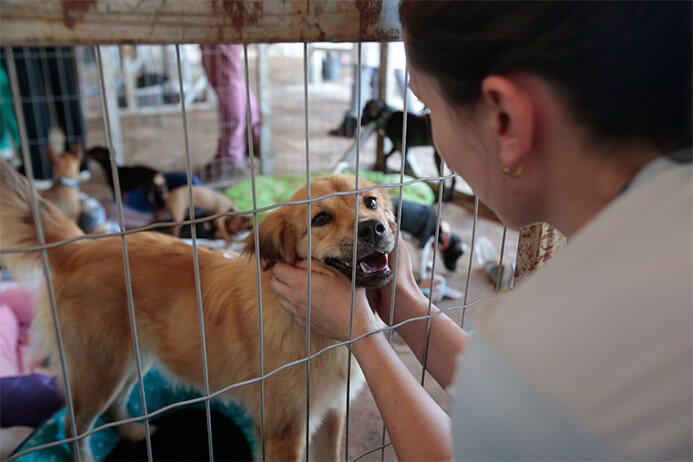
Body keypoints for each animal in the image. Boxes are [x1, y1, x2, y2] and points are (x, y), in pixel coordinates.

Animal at [0, 160, 398, 462]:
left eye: (371, 202)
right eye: (320, 219)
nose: (374, 228)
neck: (315, 331)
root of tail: (81, 246)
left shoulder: (332, 415)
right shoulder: (283, 430)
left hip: (130, 361)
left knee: (115, 408)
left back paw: (134, 433)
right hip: (100, 370)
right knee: (73, 428)